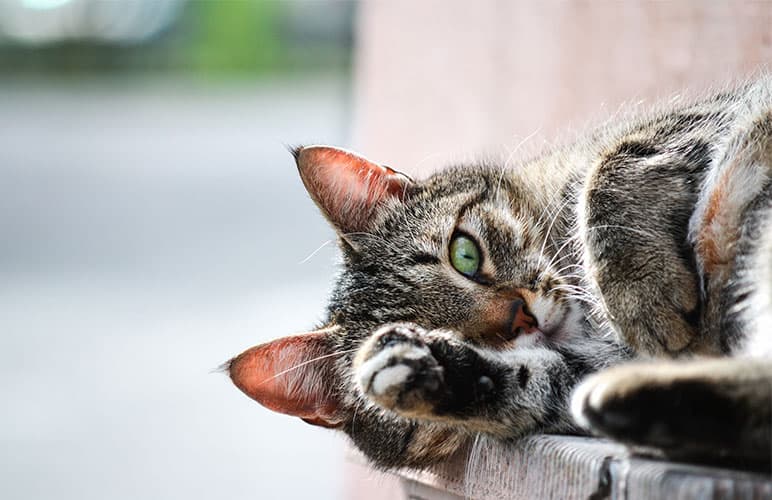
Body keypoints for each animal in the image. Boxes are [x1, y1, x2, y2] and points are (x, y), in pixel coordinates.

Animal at [226, 76, 772, 470]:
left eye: (464, 254)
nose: (520, 319)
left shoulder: (697, 118)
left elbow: (612, 168)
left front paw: (641, 294)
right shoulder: (584, 365)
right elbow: (537, 381)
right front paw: (425, 368)